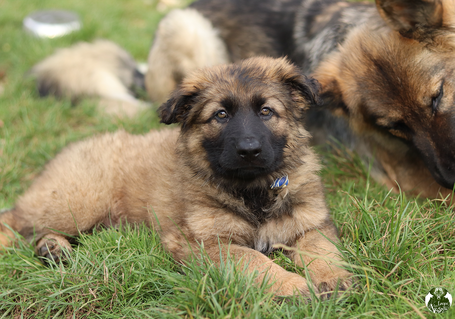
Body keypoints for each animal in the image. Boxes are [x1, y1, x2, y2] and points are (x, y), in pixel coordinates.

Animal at [0, 57, 352, 298]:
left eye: (266, 111)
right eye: (220, 115)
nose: (249, 150)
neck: (252, 190)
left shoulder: (311, 226)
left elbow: (323, 252)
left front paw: (334, 279)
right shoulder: (207, 242)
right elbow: (254, 260)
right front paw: (292, 286)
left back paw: (53, 249)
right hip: (77, 202)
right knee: (15, 219)